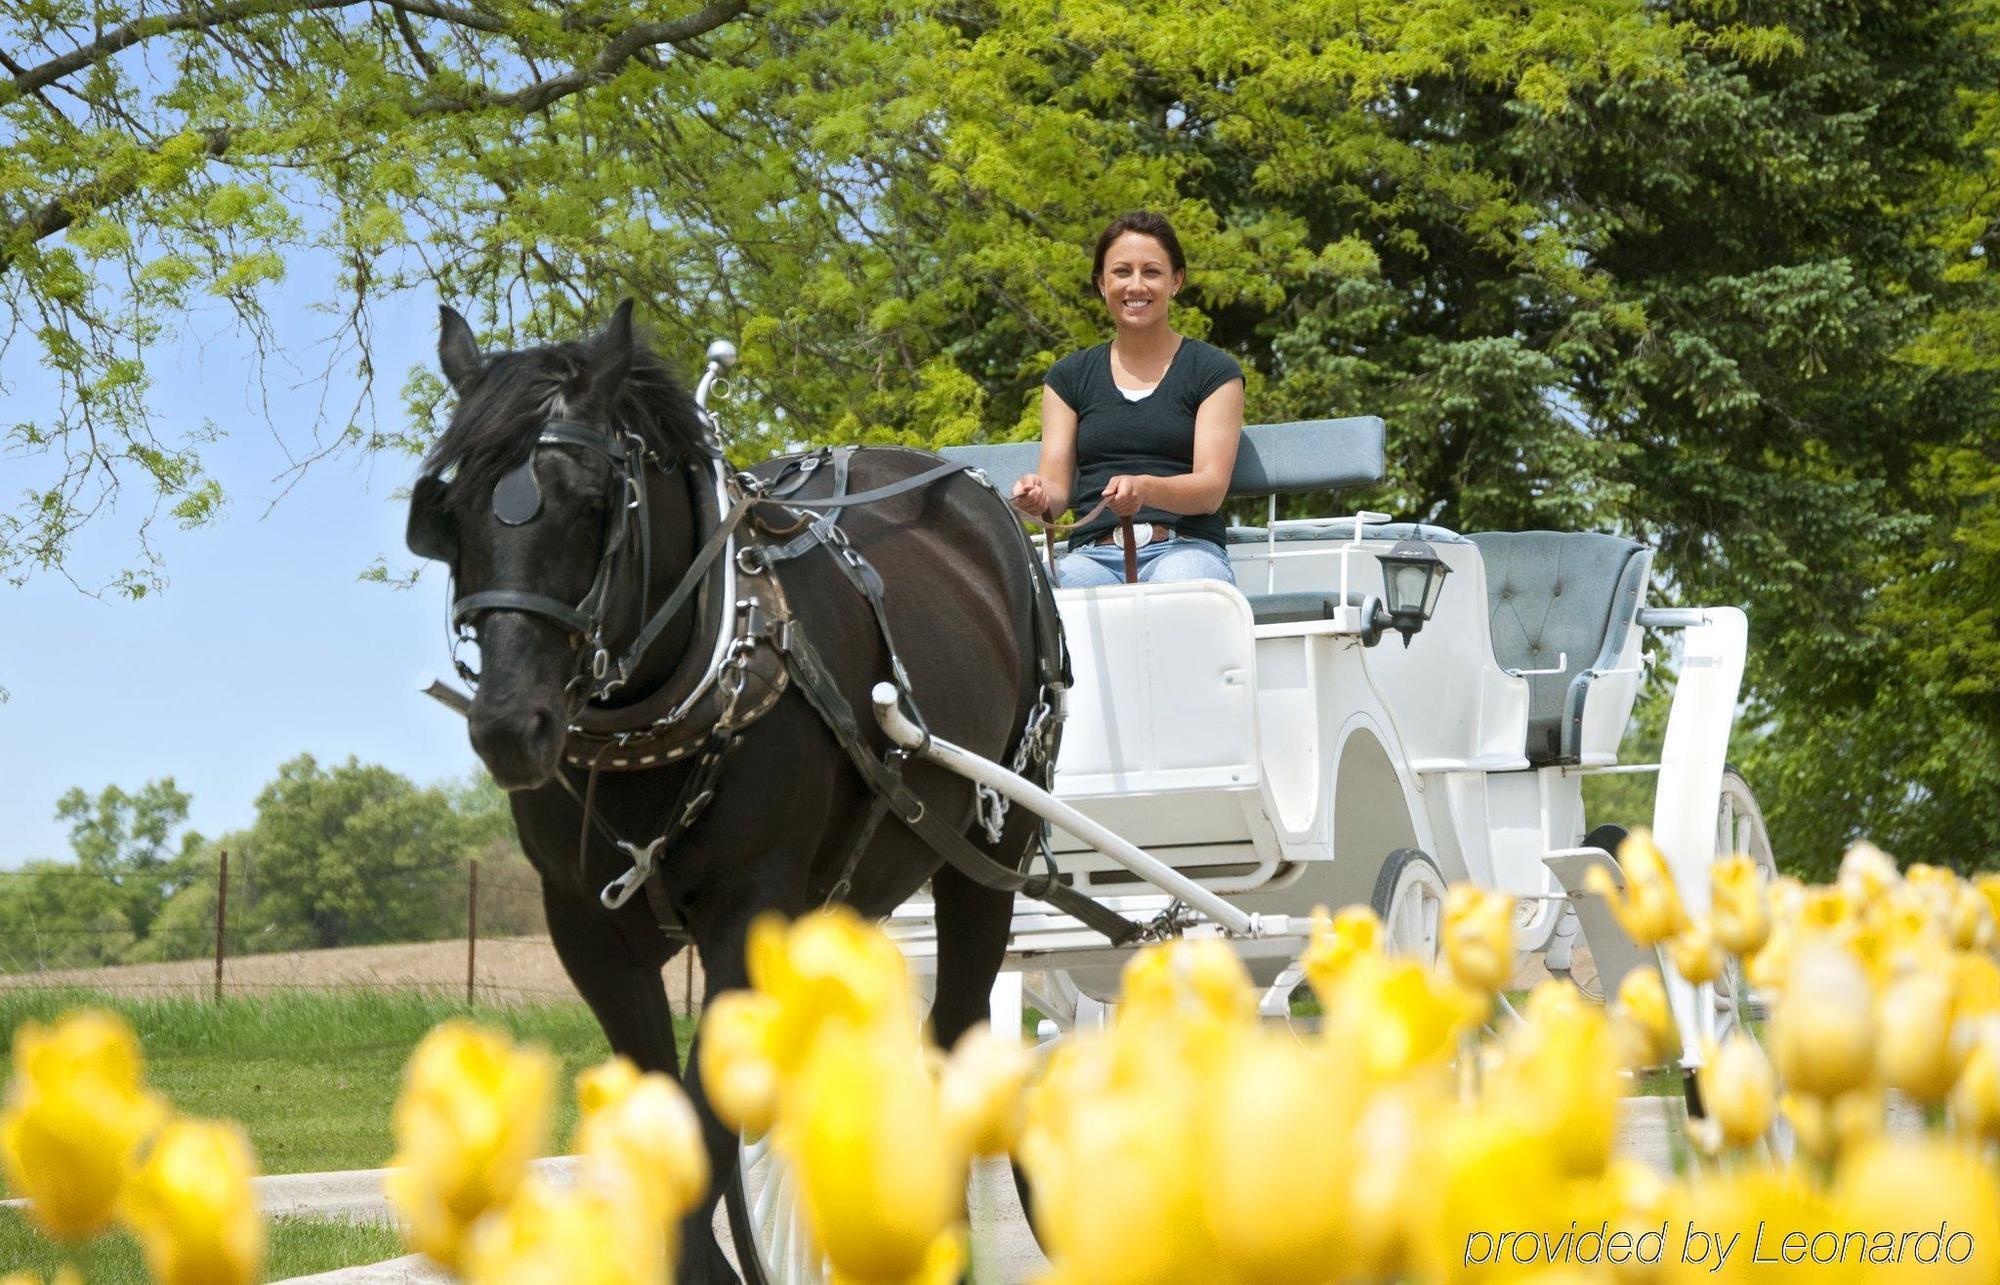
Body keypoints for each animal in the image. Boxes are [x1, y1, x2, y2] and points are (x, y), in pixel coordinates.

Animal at [410, 300, 1064, 1272]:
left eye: (593, 503)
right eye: (448, 512)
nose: (508, 725)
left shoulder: (749, 907)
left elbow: (705, 1127)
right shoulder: (586, 930)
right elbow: (669, 1126)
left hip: (993, 847)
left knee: (955, 1032)